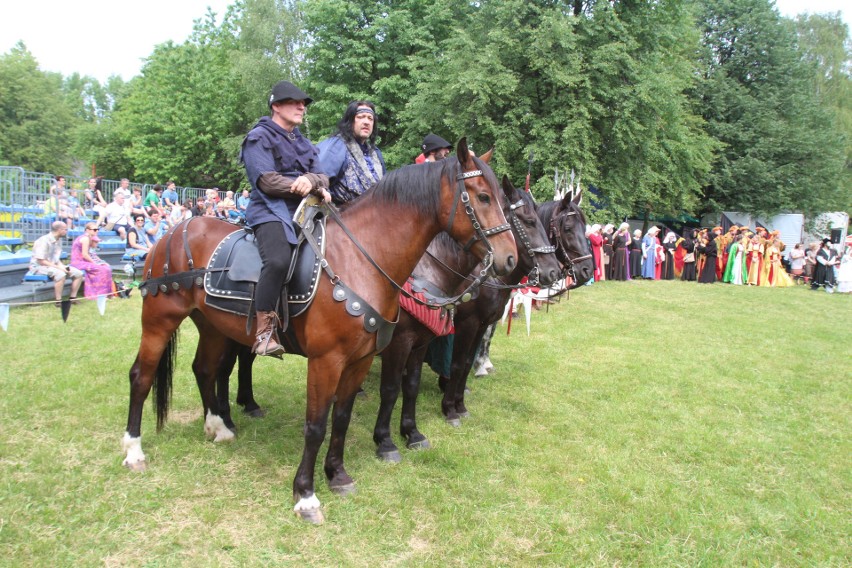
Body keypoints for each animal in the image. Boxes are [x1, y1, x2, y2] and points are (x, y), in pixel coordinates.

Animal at [120, 139, 516, 524]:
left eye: (503, 200)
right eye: (483, 197)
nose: (509, 258)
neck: (362, 259)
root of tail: (172, 233)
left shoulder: (360, 359)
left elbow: (341, 417)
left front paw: (337, 474)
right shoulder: (327, 361)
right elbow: (316, 424)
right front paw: (306, 495)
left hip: (214, 326)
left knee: (203, 369)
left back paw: (219, 428)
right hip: (159, 320)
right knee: (141, 376)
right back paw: (134, 450)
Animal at [440, 189, 592, 424]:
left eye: (584, 228)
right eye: (567, 228)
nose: (587, 270)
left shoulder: (484, 321)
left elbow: (469, 358)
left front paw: (463, 397)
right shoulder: (468, 323)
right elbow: (457, 363)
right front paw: (450, 407)